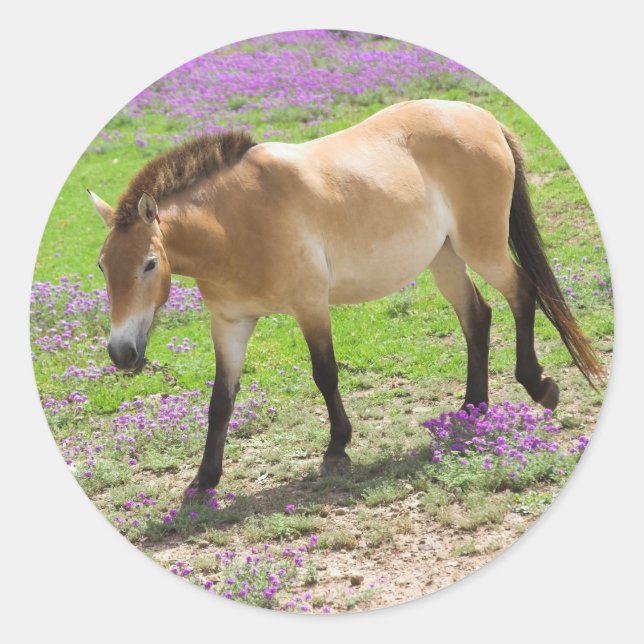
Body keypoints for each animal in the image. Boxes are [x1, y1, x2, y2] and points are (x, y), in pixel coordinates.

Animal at [88, 99, 602, 493]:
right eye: (102, 266)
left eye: (148, 264)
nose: (121, 353)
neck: (234, 225)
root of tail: (482, 118)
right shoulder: (230, 324)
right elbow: (221, 401)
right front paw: (204, 480)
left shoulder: (311, 306)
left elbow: (326, 375)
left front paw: (337, 449)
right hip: (445, 258)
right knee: (477, 316)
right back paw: (471, 409)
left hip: (483, 248)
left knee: (523, 294)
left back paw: (539, 386)